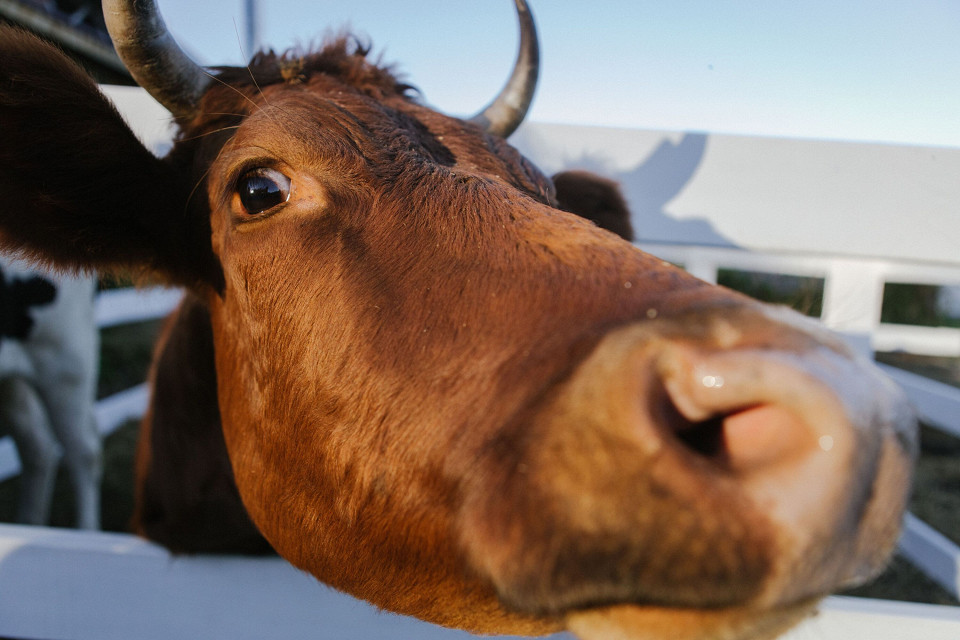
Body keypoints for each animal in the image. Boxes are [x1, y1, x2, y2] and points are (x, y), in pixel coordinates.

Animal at [0, 260, 101, 529]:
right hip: (12, 383)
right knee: (38, 448)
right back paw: (29, 523)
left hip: (66, 369)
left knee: (84, 453)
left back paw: (86, 532)